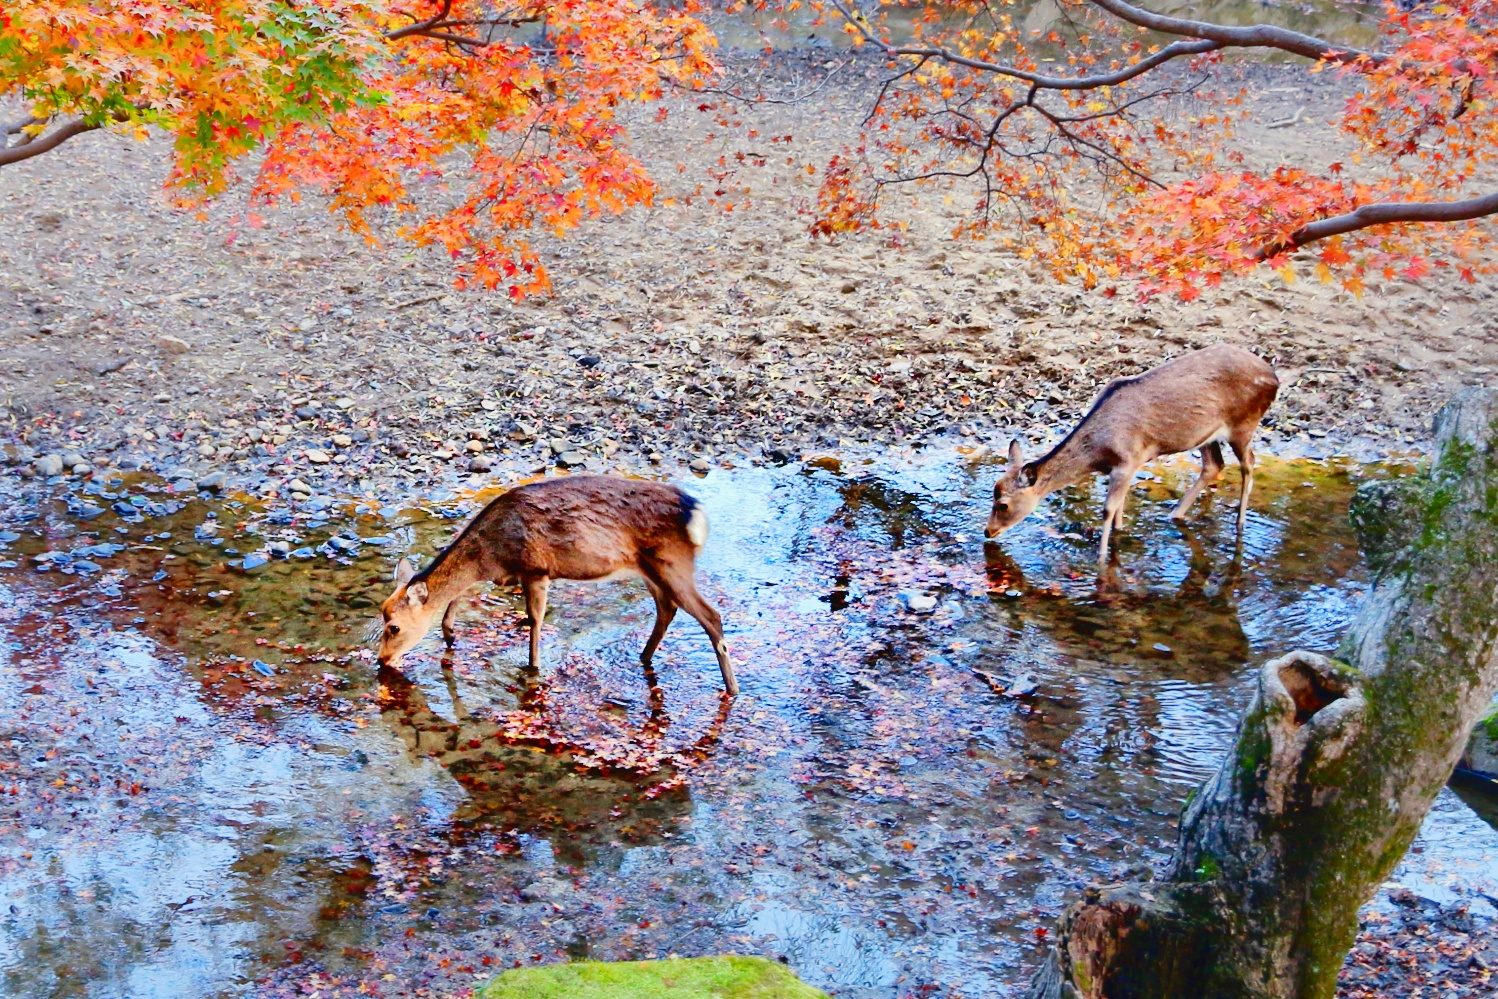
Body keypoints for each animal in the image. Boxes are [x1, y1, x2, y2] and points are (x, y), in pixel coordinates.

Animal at [377, 475, 738, 696]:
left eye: (394, 627)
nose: (381, 660)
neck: (493, 552)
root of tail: (697, 514)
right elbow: (461, 593)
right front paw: (451, 634)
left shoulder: (535, 569)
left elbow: (534, 621)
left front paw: (532, 668)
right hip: (650, 569)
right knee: (667, 608)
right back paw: (644, 657)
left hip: (672, 562)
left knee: (711, 616)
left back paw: (732, 689)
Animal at [985, 343, 1279, 564]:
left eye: (1003, 505)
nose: (988, 531)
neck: (1097, 453)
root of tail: (1275, 378)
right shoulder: (1125, 467)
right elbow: (1119, 508)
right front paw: (1119, 538)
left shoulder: (1128, 461)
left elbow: (1108, 509)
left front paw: (1101, 559)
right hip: (1204, 434)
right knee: (1213, 465)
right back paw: (1174, 515)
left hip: (1244, 424)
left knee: (1249, 463)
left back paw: (1240, 524)